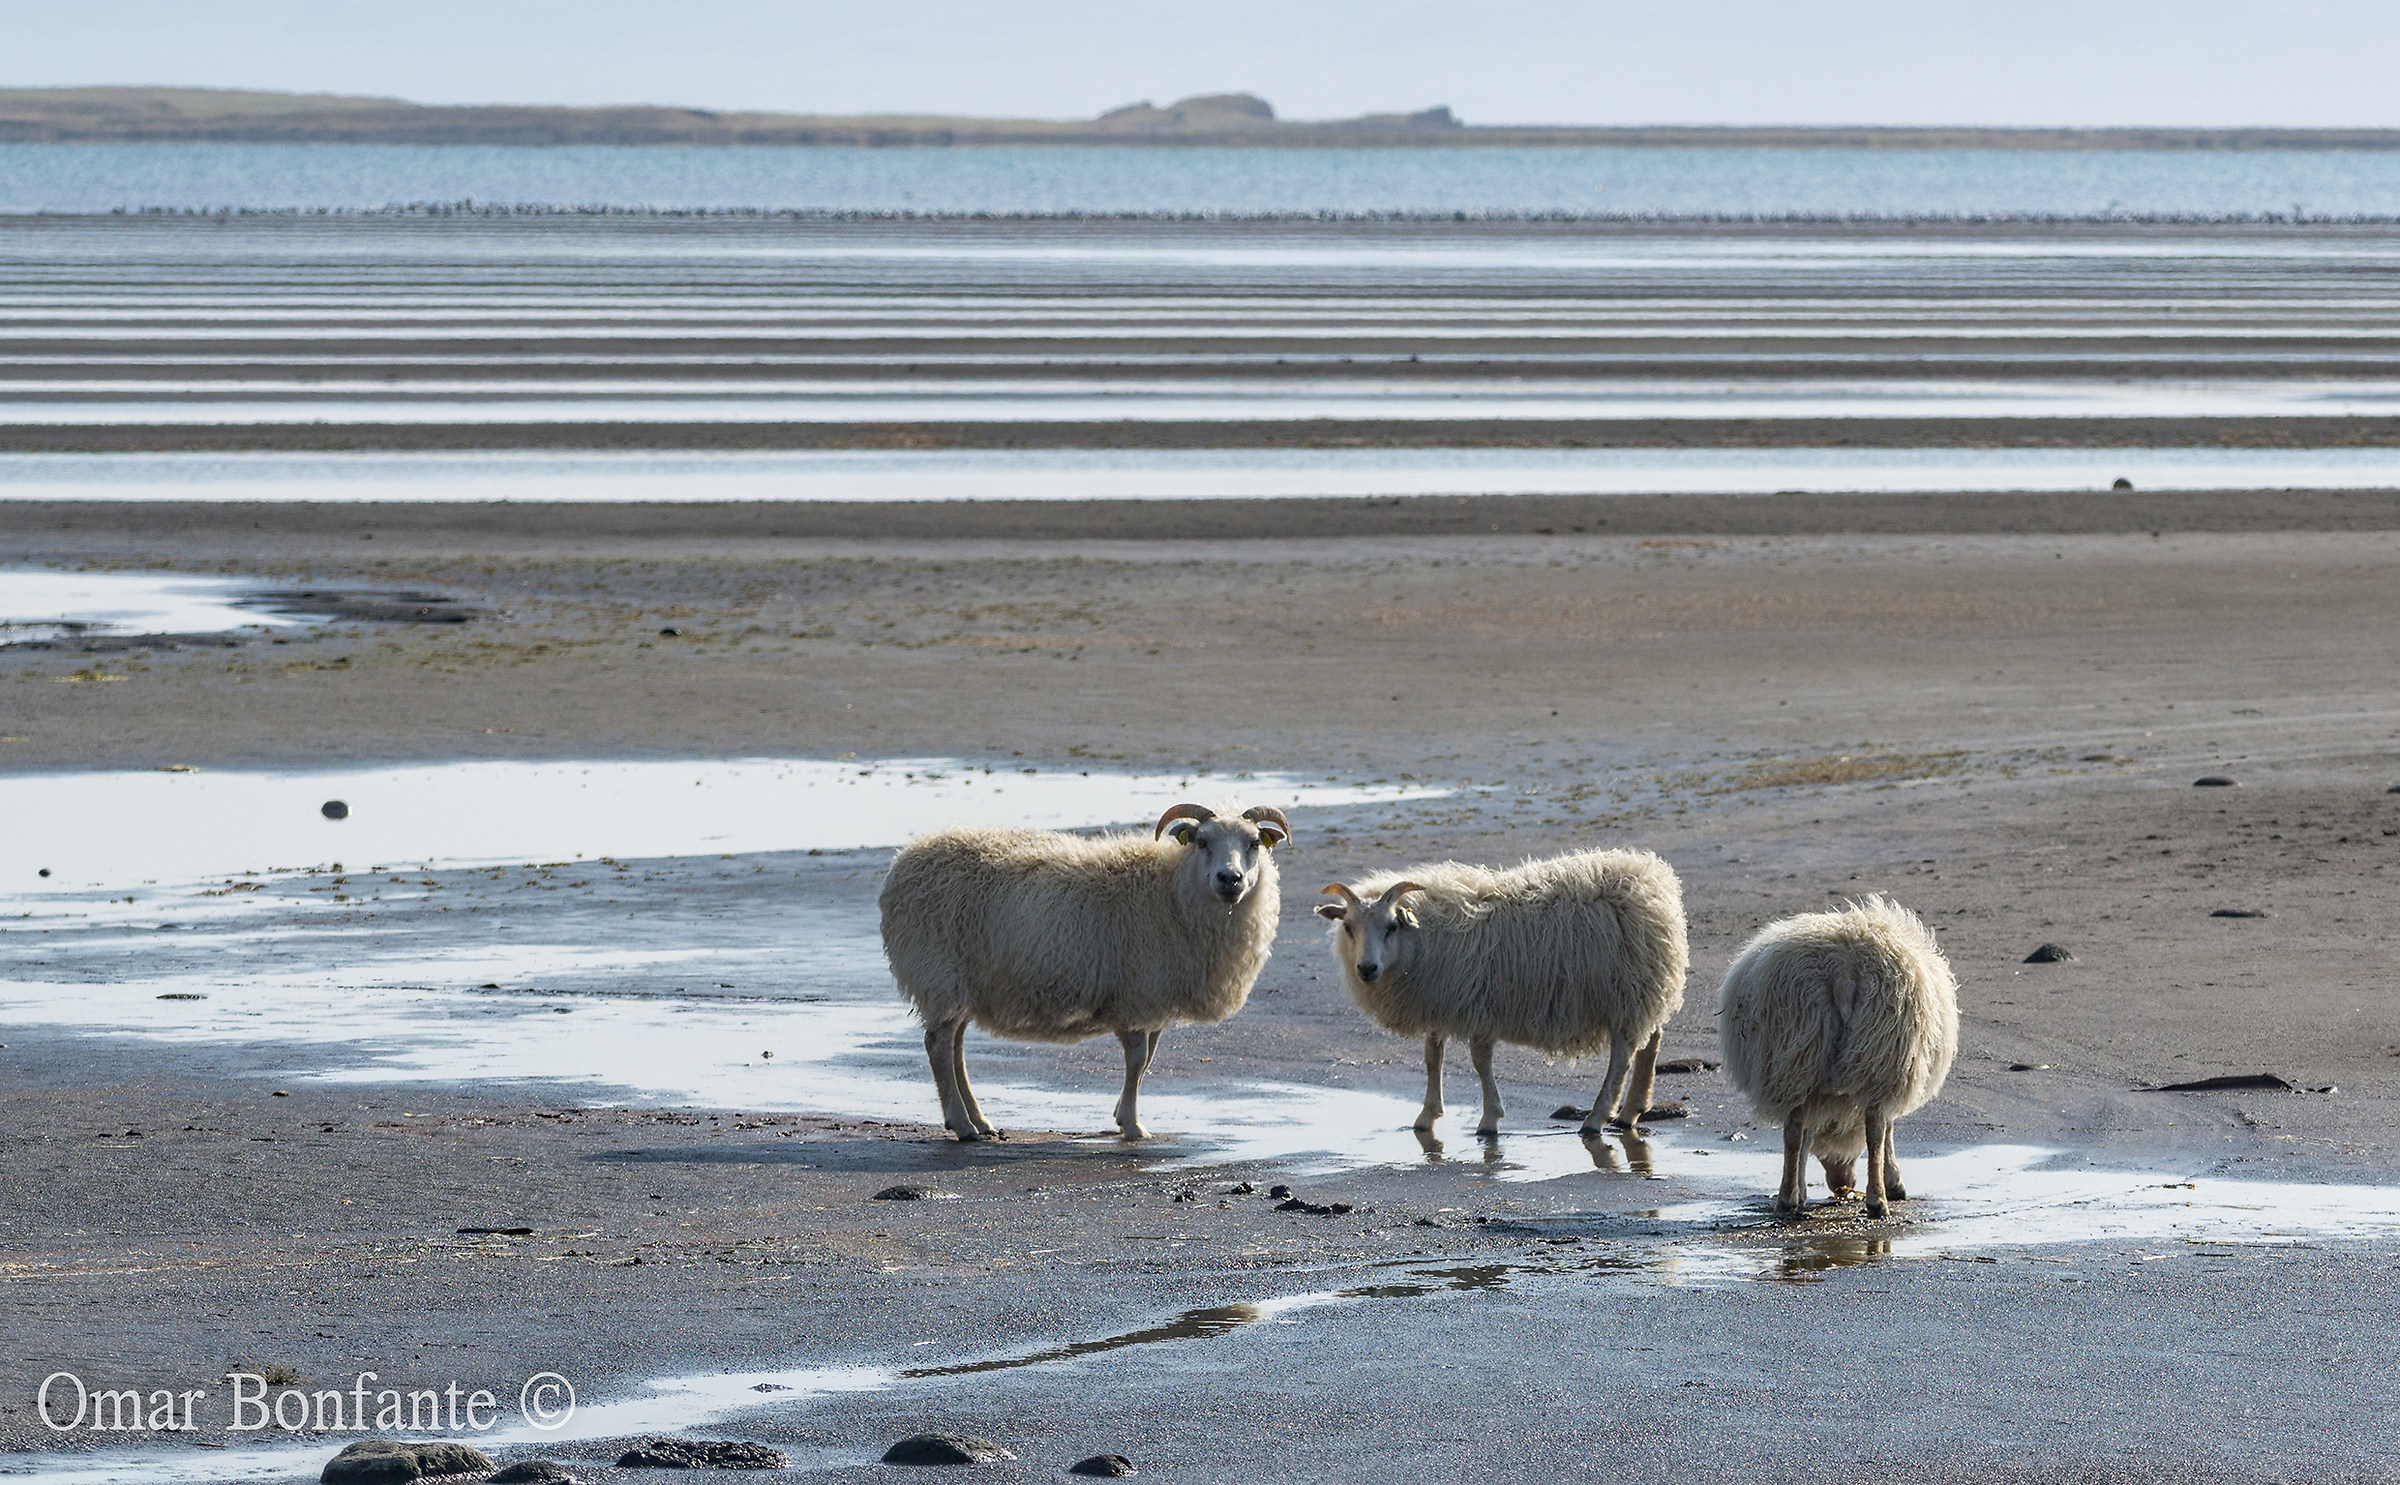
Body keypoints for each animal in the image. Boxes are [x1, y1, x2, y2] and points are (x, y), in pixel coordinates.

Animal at [879, 801, 1289, 1142]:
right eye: (1202, 841)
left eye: (1254, 842)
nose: (1230, 879)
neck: (1171, 892)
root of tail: (905, 861)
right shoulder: (1135, 995)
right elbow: (1137, 1060)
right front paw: (1133, 1125)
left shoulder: (1154, 996)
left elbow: (1148, 1060)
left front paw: (1122, 1115)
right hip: (938, 975)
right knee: (938, 1046)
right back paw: (962, 1125)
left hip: (964, 984)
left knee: (956, 1047)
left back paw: (980, 1121)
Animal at [1315, 848, 1689, 1139]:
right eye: (1348, 927)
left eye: (1393, 926)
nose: (1367, 969)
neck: (1422, 940)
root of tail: (1651, 876)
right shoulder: (1440, 1002)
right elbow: (1432, 1058)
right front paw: (1426, 1117)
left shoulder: (1479, 1004)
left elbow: (1480, 1062)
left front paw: (1489, 1120)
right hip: (1642, 992)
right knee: (1651, 1041)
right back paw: (1630, 1112)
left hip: (1625, 993)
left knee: (1622, 1057)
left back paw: (1596, 1119)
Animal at [1716, 896, 1960, 1219]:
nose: (1841, 1185)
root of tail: (1842, 970)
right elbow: (1889, 1129)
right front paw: (1895, 1182)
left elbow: (1808, 1136)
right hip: (1875, 1053)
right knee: (1873, 1127)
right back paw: (1873, 1199)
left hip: (1800, 1054)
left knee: (1796, 1129)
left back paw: (1794, 1198)